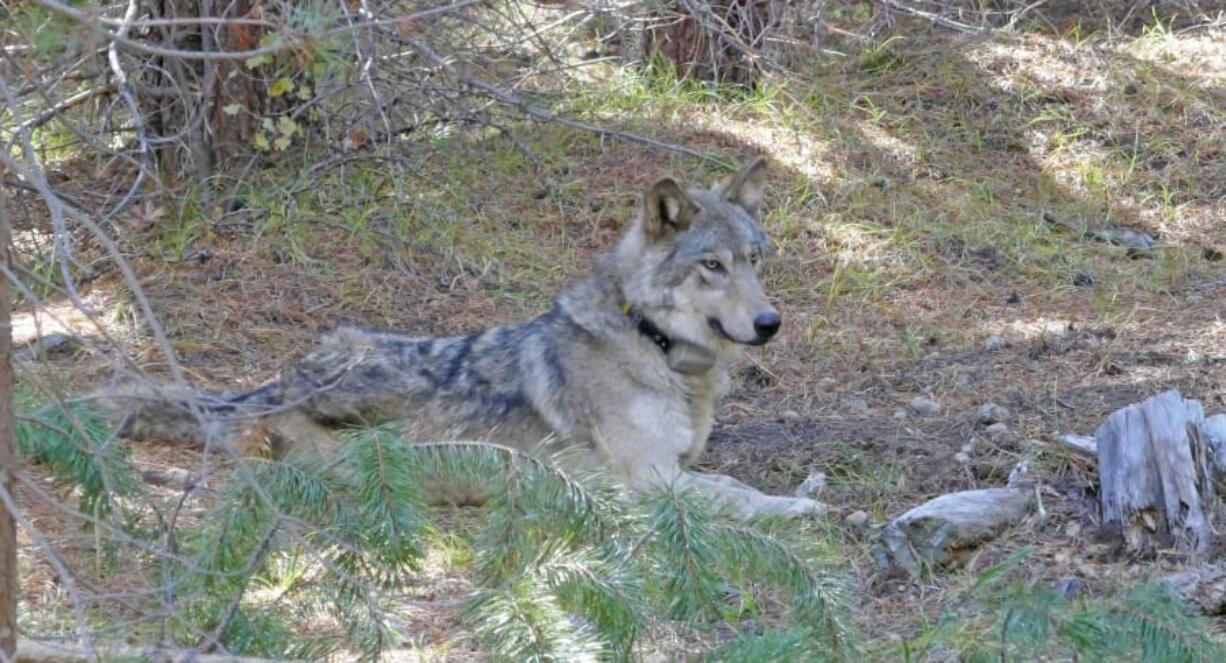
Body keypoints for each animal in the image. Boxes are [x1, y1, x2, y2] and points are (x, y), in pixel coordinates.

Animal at [107, 158, 823, 519]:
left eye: (755, 260)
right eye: (713, 266)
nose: (770, 323)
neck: (656, 348)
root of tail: (272, 386)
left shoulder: (677, 464)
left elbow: (727, 479)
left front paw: (806, 488)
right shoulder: (649, 479)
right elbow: (737, 495)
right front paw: (796, 507)